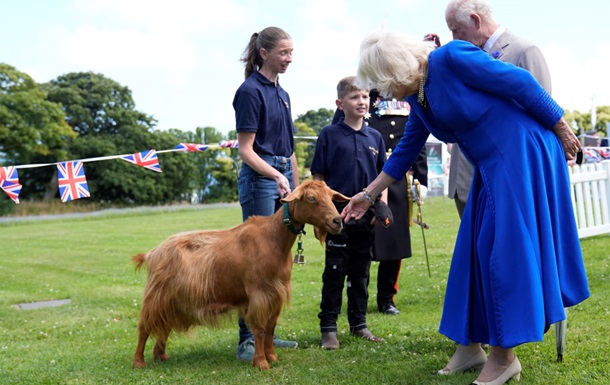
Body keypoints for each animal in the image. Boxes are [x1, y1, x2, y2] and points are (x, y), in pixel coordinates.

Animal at [129, 180, 346, 368]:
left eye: (331, 197)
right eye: (311, 198)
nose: (337, 221)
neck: (273, 238)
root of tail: (152, 253)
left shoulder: (276, 294)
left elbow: (271, 327)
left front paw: (272, 357)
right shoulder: (259, 293)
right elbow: (259, 329)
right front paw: (261, 362)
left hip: (172, 299)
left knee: (164, 324)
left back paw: (160, 355)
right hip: (157, 295)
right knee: (144, 326)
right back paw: (139, 361)